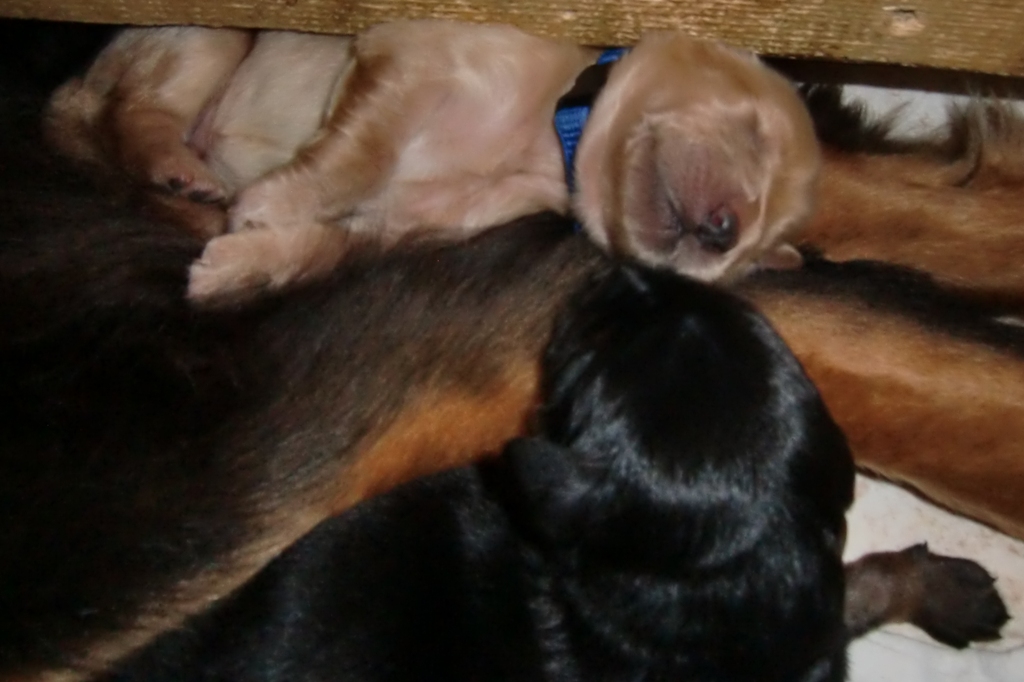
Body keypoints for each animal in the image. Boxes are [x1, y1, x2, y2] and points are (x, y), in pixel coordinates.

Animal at [45, 21, 819, 302]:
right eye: (754, 133)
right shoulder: (406, 62)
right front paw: (270, 206)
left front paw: (243, 263)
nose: (724, 231)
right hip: (211, 37)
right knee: (124, 114)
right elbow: (357, 155)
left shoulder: (403, 226)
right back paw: (176, 167)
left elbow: (323, 248)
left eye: (752, 254)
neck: (547, 136)